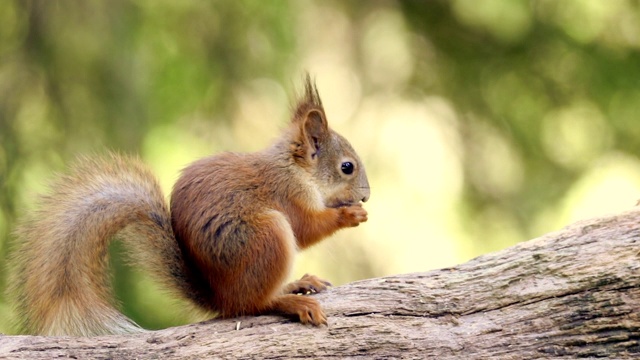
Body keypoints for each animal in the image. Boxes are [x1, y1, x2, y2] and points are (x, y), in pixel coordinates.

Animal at [7, 74, 370, 336]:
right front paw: (350, 215)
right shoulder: (287, 195)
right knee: (252, 304)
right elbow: (307, 227)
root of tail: (218, 297)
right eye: (346, 167)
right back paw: (290, 301)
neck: (294, 169)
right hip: (268, 237)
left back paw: (297, 284)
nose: (366, 196)